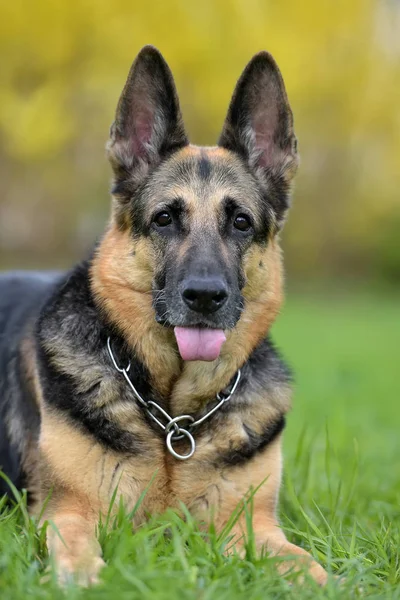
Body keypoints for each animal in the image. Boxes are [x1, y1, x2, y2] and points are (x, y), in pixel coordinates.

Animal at [0, 47, 328, 584]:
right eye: (165, 218)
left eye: (241, 223)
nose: (204, 296)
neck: (175, 420)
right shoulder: (68, 512)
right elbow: (77, 548)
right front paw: (85, 580)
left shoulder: (253, 527)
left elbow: (312, 567)